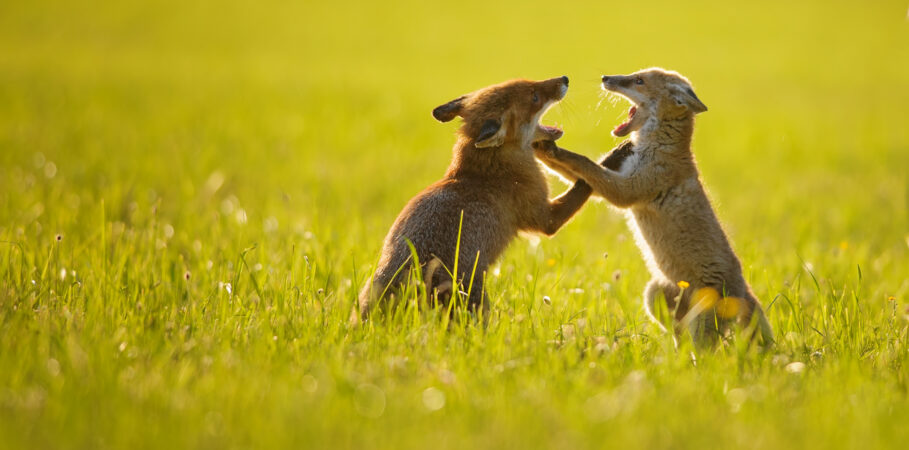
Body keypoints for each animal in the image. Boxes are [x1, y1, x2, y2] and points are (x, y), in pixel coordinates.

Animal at [354, 76, 593, 323]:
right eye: (535, 97)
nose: (564, 79)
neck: (488, 170)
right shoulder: (544, 218)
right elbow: (579, 191)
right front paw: (596, 171)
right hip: (478, 302)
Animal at [534, 68, 773, 345]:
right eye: (634, 74)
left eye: (639, 81)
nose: (605, 78)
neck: (655, 148)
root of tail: (745, 288)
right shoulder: (616, 176)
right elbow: (573, 168)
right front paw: (542, 147)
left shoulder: (627, 189)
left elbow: (585, 163)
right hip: (655, 294)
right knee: (680, 337)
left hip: (700, 326)